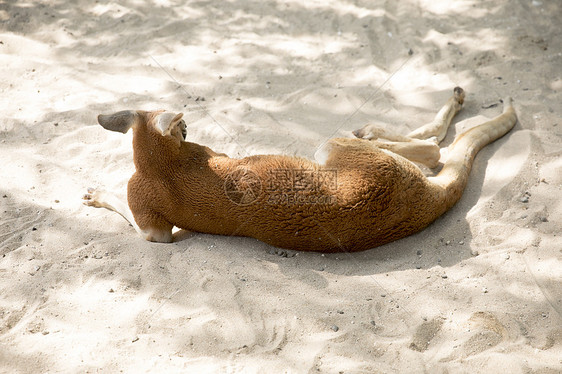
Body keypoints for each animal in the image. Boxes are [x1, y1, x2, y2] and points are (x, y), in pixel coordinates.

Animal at [83, 87, 516, 251]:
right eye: (184, 128)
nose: (188, 127)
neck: (159, 163)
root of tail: (423, 202)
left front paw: (97, 193)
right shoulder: (151, 222)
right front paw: (97, 194)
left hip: (340, 153)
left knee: (430, 150)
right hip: (342, 152)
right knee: (430, 150)